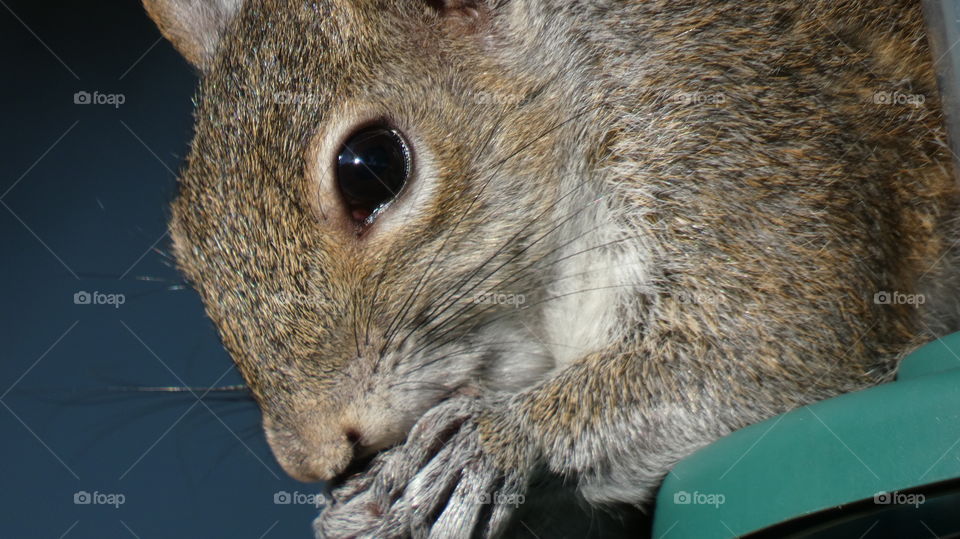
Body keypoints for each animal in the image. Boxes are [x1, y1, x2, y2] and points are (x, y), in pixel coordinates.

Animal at [146, 0, 960, 536]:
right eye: (183, 242)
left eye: (372, 166)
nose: (311, 458)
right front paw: (353, 512)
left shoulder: (740, 145)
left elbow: (773, 347)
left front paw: (494, 438)